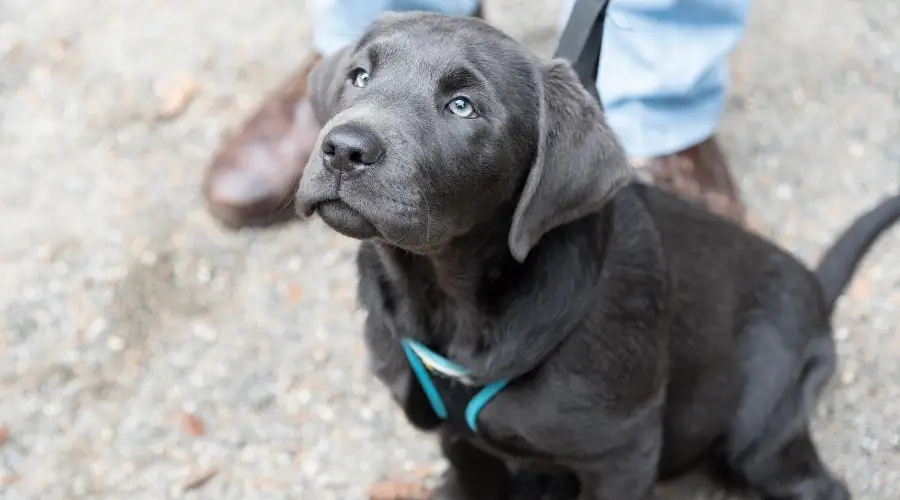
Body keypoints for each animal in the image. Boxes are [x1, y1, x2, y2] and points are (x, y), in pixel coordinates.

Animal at [296, 11, 900, 500]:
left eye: (463, 107)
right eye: (359, 77)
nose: (343, 149)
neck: (448, 298)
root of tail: (815, 289)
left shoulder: (623, 454)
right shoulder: (460, 442)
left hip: (758, 431)